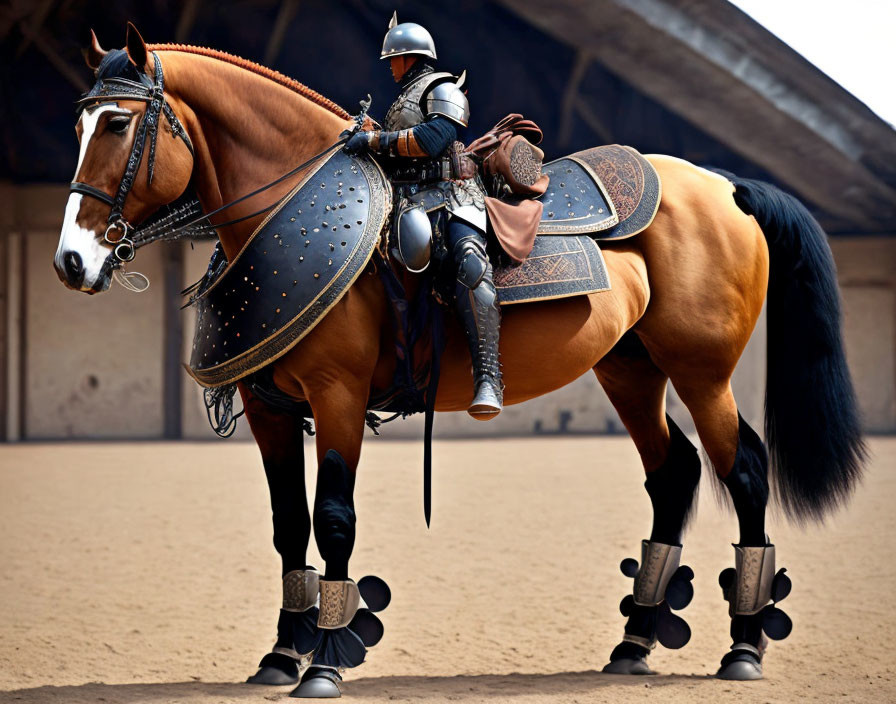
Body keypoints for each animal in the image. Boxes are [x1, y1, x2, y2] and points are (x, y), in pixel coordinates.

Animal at [54, 24, 860, 696]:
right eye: (80, 123)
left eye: (119, 123)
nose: (72, 261)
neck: (284, 203)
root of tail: (726, 184)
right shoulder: (268, 407)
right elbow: (289, 525)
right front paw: (281, 656)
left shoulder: (337, 394)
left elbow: (333, 519)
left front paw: (325, 662)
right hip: (629, 369)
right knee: (673, 473)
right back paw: (634, 642)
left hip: (701, 372)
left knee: (743, 470)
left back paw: (745, 646)